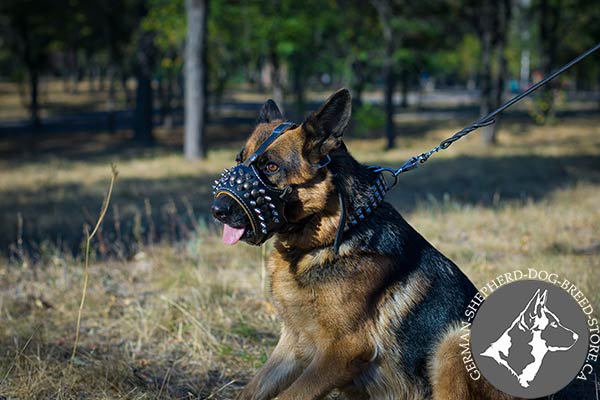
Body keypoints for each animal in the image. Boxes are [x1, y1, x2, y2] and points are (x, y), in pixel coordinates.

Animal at [211, 90, 510, 400]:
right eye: (239, 159)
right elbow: (252, 389)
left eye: (271, 166)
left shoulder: (342, 351)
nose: (217, 209)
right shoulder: (292, 345)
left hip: (452, 341)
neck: (330, 237)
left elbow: (289, 396)